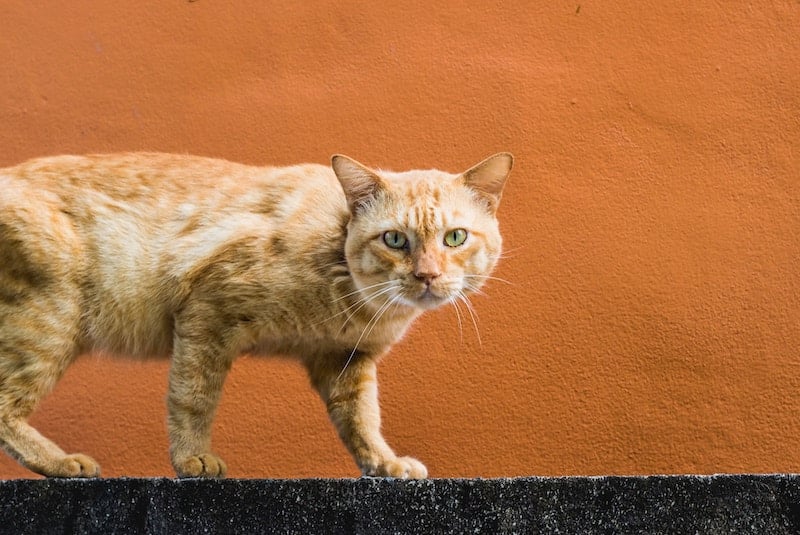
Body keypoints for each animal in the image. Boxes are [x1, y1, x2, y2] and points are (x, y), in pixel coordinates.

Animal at [0, 153, 512, 480]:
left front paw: (384, 464)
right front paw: (192, 460)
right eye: (395, 239)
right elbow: (193, 398)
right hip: (48, 323)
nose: (427, 275)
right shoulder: (207, 312)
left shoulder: (346, 360)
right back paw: (62, 463)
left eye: (454, 237)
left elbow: (363, 420)